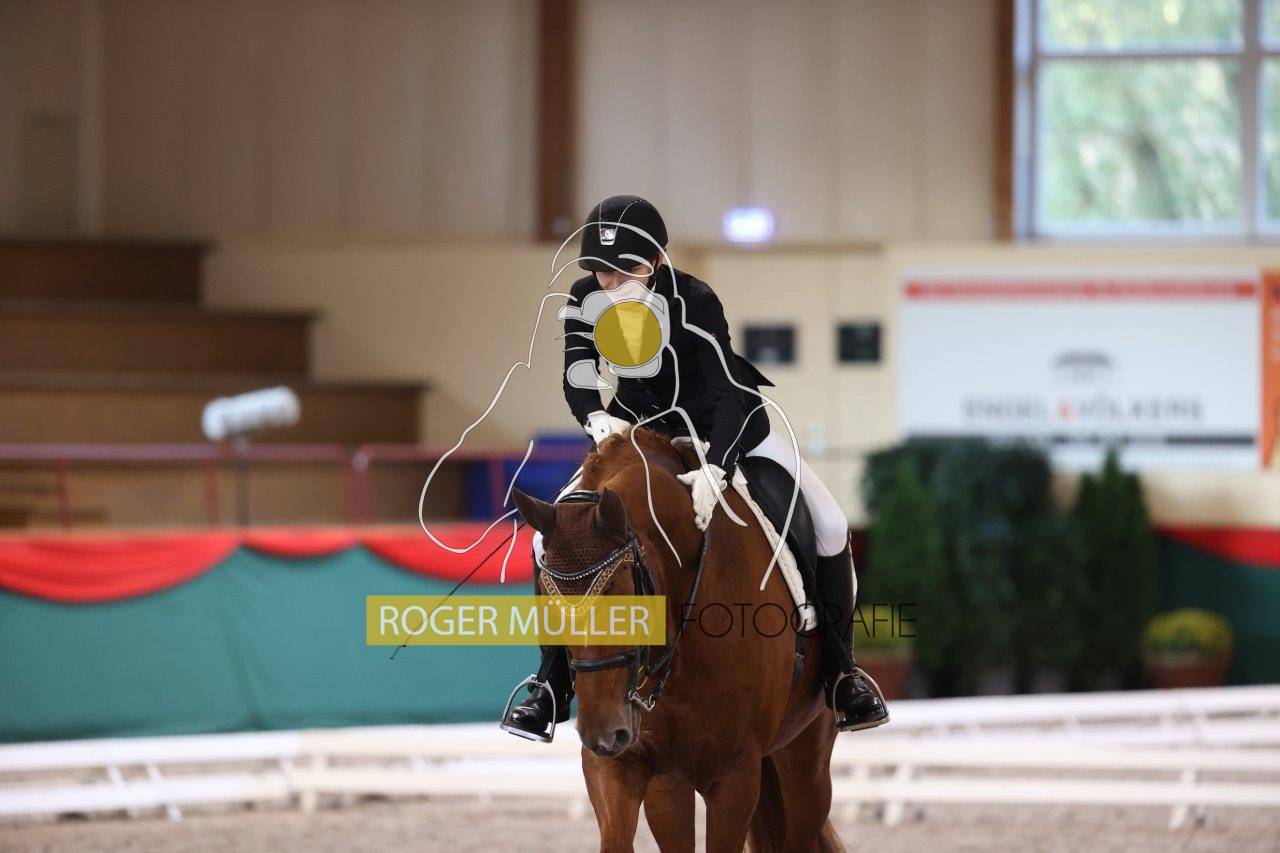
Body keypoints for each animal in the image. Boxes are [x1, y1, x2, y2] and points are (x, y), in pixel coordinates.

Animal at [512, 427, 844, 853]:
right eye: (548, 600)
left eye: (626, 598)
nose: (603, 733)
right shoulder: (623, 763)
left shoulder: (735, 774)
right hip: (669, 781)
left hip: (807, 758)